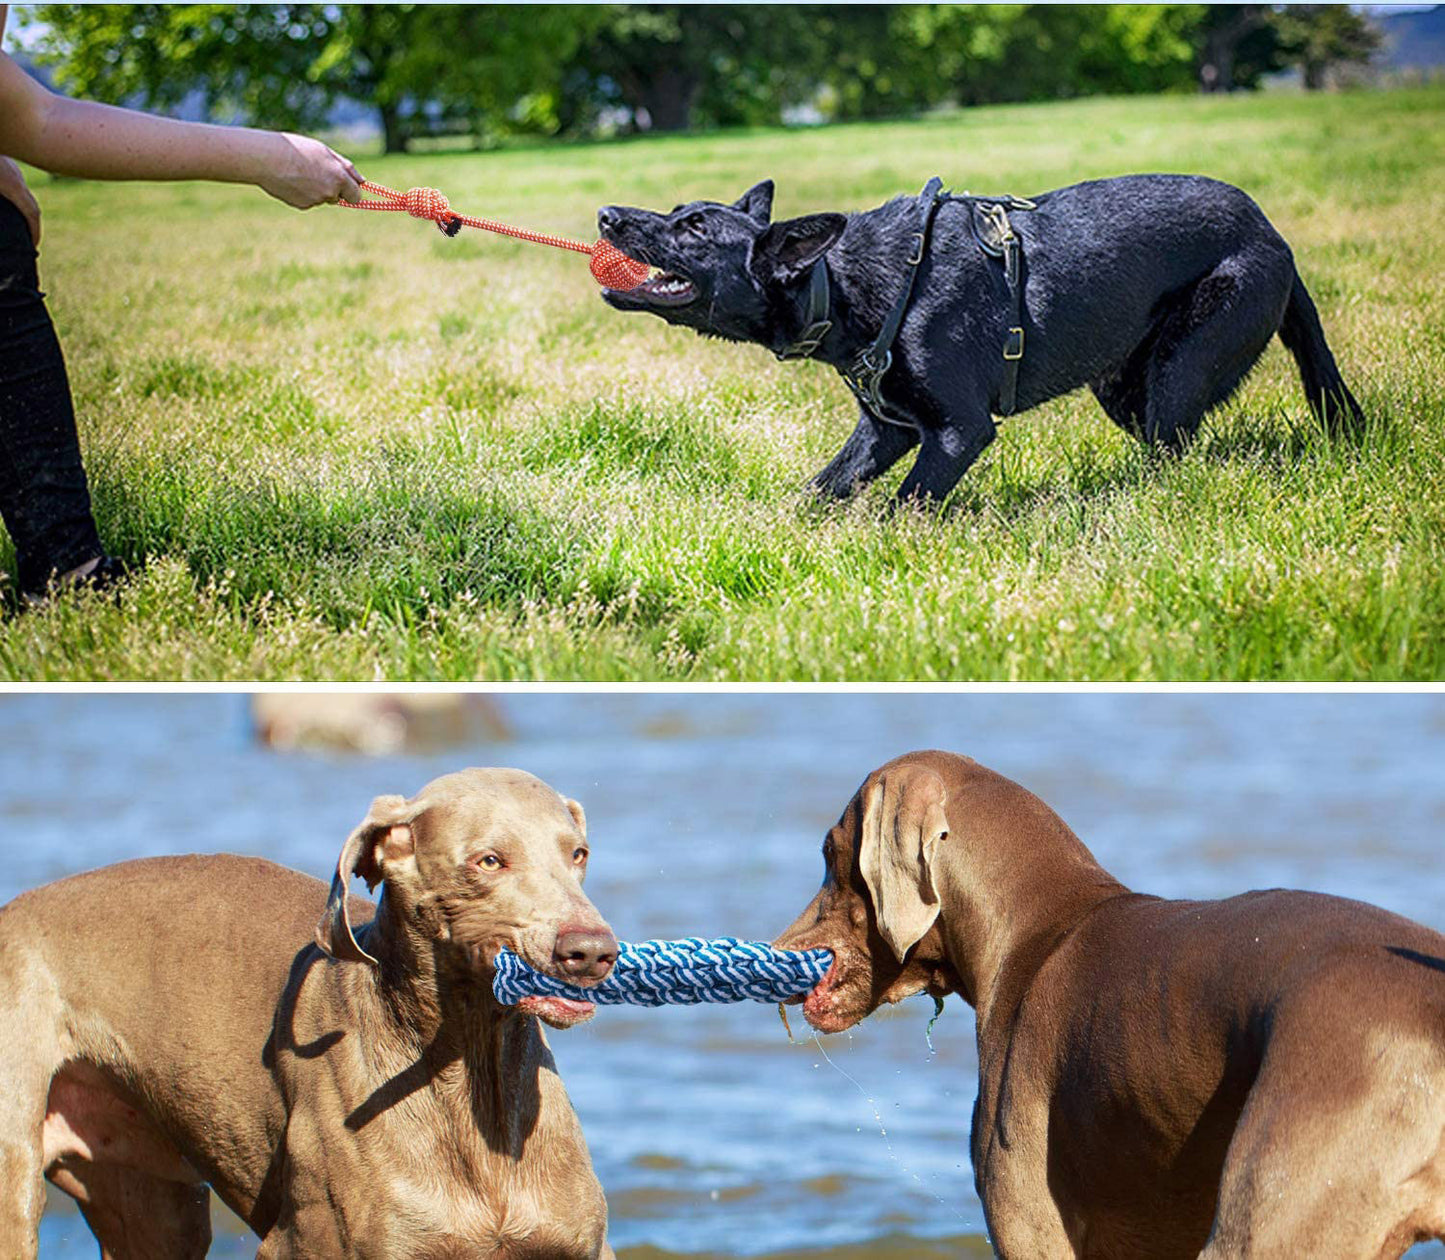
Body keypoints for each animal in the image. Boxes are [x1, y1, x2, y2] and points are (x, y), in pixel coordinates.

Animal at [0, 768, 615, 1260]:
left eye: (578, 853)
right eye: (489, 860)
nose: (591, 951)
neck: (469, 1081)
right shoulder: (306, 1243)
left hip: (154, 1204)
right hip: (19, 1178)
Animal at [598, 177, 1364, 502]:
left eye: (695, 228)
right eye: (674, 211)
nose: (606, 215)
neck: (841, 282)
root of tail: (1271, 233)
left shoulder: (958, 432)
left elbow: (905, 507)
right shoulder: (886, 431)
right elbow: (819, 492)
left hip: (1179, 367)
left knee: (1173, 452)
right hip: (1123, 385)